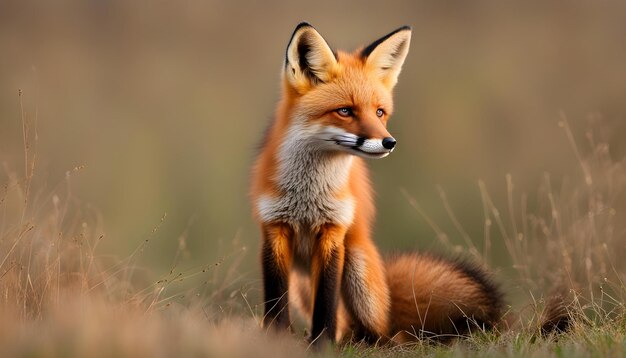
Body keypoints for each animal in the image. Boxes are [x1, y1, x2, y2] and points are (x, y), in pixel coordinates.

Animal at [249, 22, 564, 344]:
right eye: (345, 111)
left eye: (379, 112)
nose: (389, 142)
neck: (307, 196)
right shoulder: (274, 229)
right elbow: (275, 300)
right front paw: (275, 339)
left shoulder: (333, 231)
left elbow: (326, 303)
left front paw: (320, 345)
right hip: (305, 283)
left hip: (359, 271)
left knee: (381, 332)